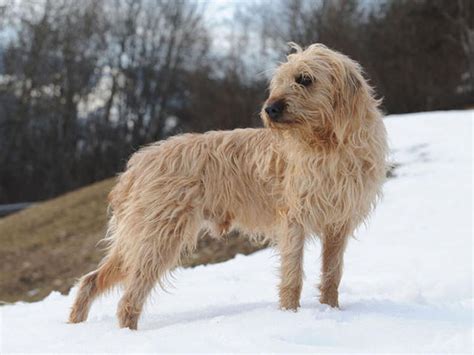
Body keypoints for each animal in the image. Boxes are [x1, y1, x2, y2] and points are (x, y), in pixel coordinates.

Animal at [70, 43, 388, 330]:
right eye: (278, 81)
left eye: (305, 79)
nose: (270, 109)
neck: (329, 144)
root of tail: (136, 165)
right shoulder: (293, 221)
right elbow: (292, 277)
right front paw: (290, 317)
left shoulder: (338, 224)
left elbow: (332, 275)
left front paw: (331, 311)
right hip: (157, 238)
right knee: (127, 299)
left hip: (139, 240)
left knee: (90, 280)